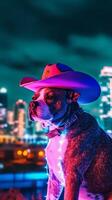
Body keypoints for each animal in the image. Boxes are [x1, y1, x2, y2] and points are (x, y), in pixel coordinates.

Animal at [19, 63, 112, 199]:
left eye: (50, 97)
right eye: (34, 97)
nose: (32, 103)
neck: (62, 129)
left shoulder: (72, 177)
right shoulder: (53, 179)